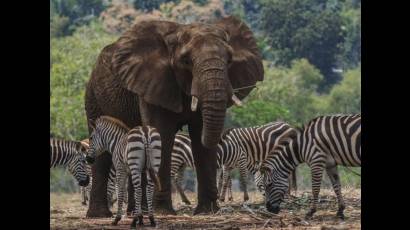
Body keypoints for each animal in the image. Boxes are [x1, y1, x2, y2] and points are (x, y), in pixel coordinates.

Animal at [85, 16, 264, 217]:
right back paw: (101, 215)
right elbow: (162, 134)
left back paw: (135, 212)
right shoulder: (152, 85)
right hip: (93, 97)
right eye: (186, 61)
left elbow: (201, 138)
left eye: (230, 60)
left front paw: (207, 211)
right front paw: (163, 212)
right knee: (102, 155)